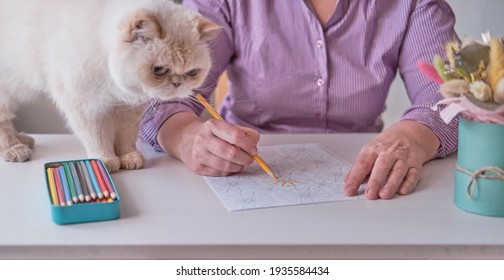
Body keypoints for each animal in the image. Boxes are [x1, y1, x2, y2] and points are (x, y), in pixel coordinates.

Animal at [0, 0, 219, 172]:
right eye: (158, 70)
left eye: (191, 72)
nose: (177, 84)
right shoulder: (86, 106)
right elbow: (98, 136)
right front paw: (106, 161)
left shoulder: (128, 107)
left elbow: (126, 136)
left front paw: (129, 158)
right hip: (7, 92)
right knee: (4, 123)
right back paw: (15, 149)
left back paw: (24, 140)